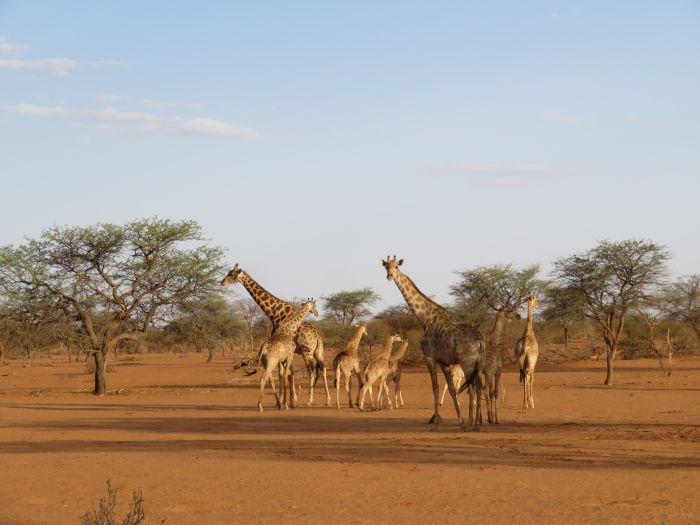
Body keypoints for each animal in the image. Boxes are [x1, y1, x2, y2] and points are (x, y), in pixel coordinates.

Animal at [220, 264, 332, 408]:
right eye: (228, 272)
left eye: (232, 274)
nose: (222, 283)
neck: (273, 312)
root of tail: (317, 336)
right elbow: (289, 373)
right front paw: (291, 401)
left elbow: (282, 374)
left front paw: (285, 401)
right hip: (318, 351)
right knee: (323, 369)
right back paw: (328, 400)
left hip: (306, 352)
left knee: (312, 372)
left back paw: (309, 401)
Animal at [380, 255, 484, 430]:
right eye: (386, 266)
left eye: (396, 267)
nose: (389, 276)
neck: (425, 318)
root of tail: (481, 340)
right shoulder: (444, 361)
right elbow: (451, 389)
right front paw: (460, 422)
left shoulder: (429, 357)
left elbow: (435, 388)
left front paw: (435, 424)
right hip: (477, 363)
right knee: (479, 385)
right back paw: (476, 424)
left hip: (467, 362)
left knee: (473, 386)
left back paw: (472, 424)